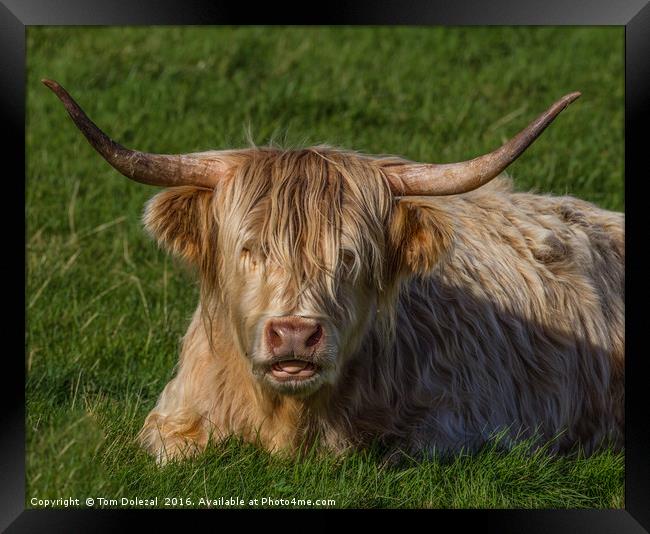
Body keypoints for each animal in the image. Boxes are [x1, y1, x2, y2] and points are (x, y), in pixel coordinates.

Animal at [43, 78, 620, 464]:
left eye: (349, 255)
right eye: (249, 248)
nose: (296, 335)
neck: (286, 421)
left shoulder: (458, 425)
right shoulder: (172, 418)